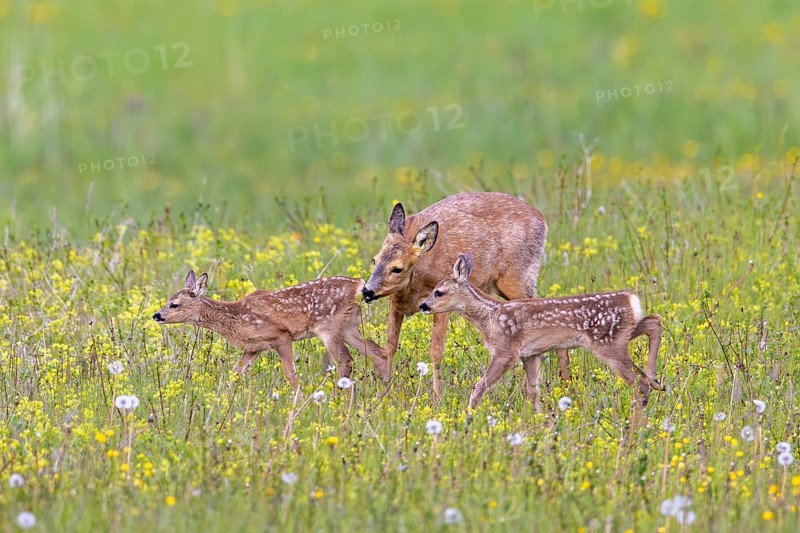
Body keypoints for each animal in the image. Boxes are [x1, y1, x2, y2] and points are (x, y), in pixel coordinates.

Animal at [153, 270, 390, 388]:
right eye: (168, 300)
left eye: (175, 304)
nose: (157, 315)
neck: (236, 319)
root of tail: (359, 285)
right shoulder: (253, 348)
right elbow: (235, 373)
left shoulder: (281, 336)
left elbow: (290, 374)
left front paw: (298, 401)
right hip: (349, 325)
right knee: (377, 353)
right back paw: (386, 390)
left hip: (329, 327)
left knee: (345, 360)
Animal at [361, 192, 570, 398]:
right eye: (374, 260)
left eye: (397, 268)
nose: (367, 291)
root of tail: (541, 220)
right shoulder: (395, 303)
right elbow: (390, 346)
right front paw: (384, 392)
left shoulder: (441, 300)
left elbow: (436, 350)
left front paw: (437, 397)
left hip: (518, 278)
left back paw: (559, 386)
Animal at [419, 253, 664, 410]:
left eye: (439, 292)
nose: (423, 305)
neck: (490, 317)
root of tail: (631, 299)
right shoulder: (531, 354)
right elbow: (533, 392)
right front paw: (537, 421)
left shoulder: (506, 351)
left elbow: (479, 387)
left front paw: (468, 416)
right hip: (620, 334)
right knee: (654, 320)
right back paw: (656, 380)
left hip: (607, 344)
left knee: (639, 382)